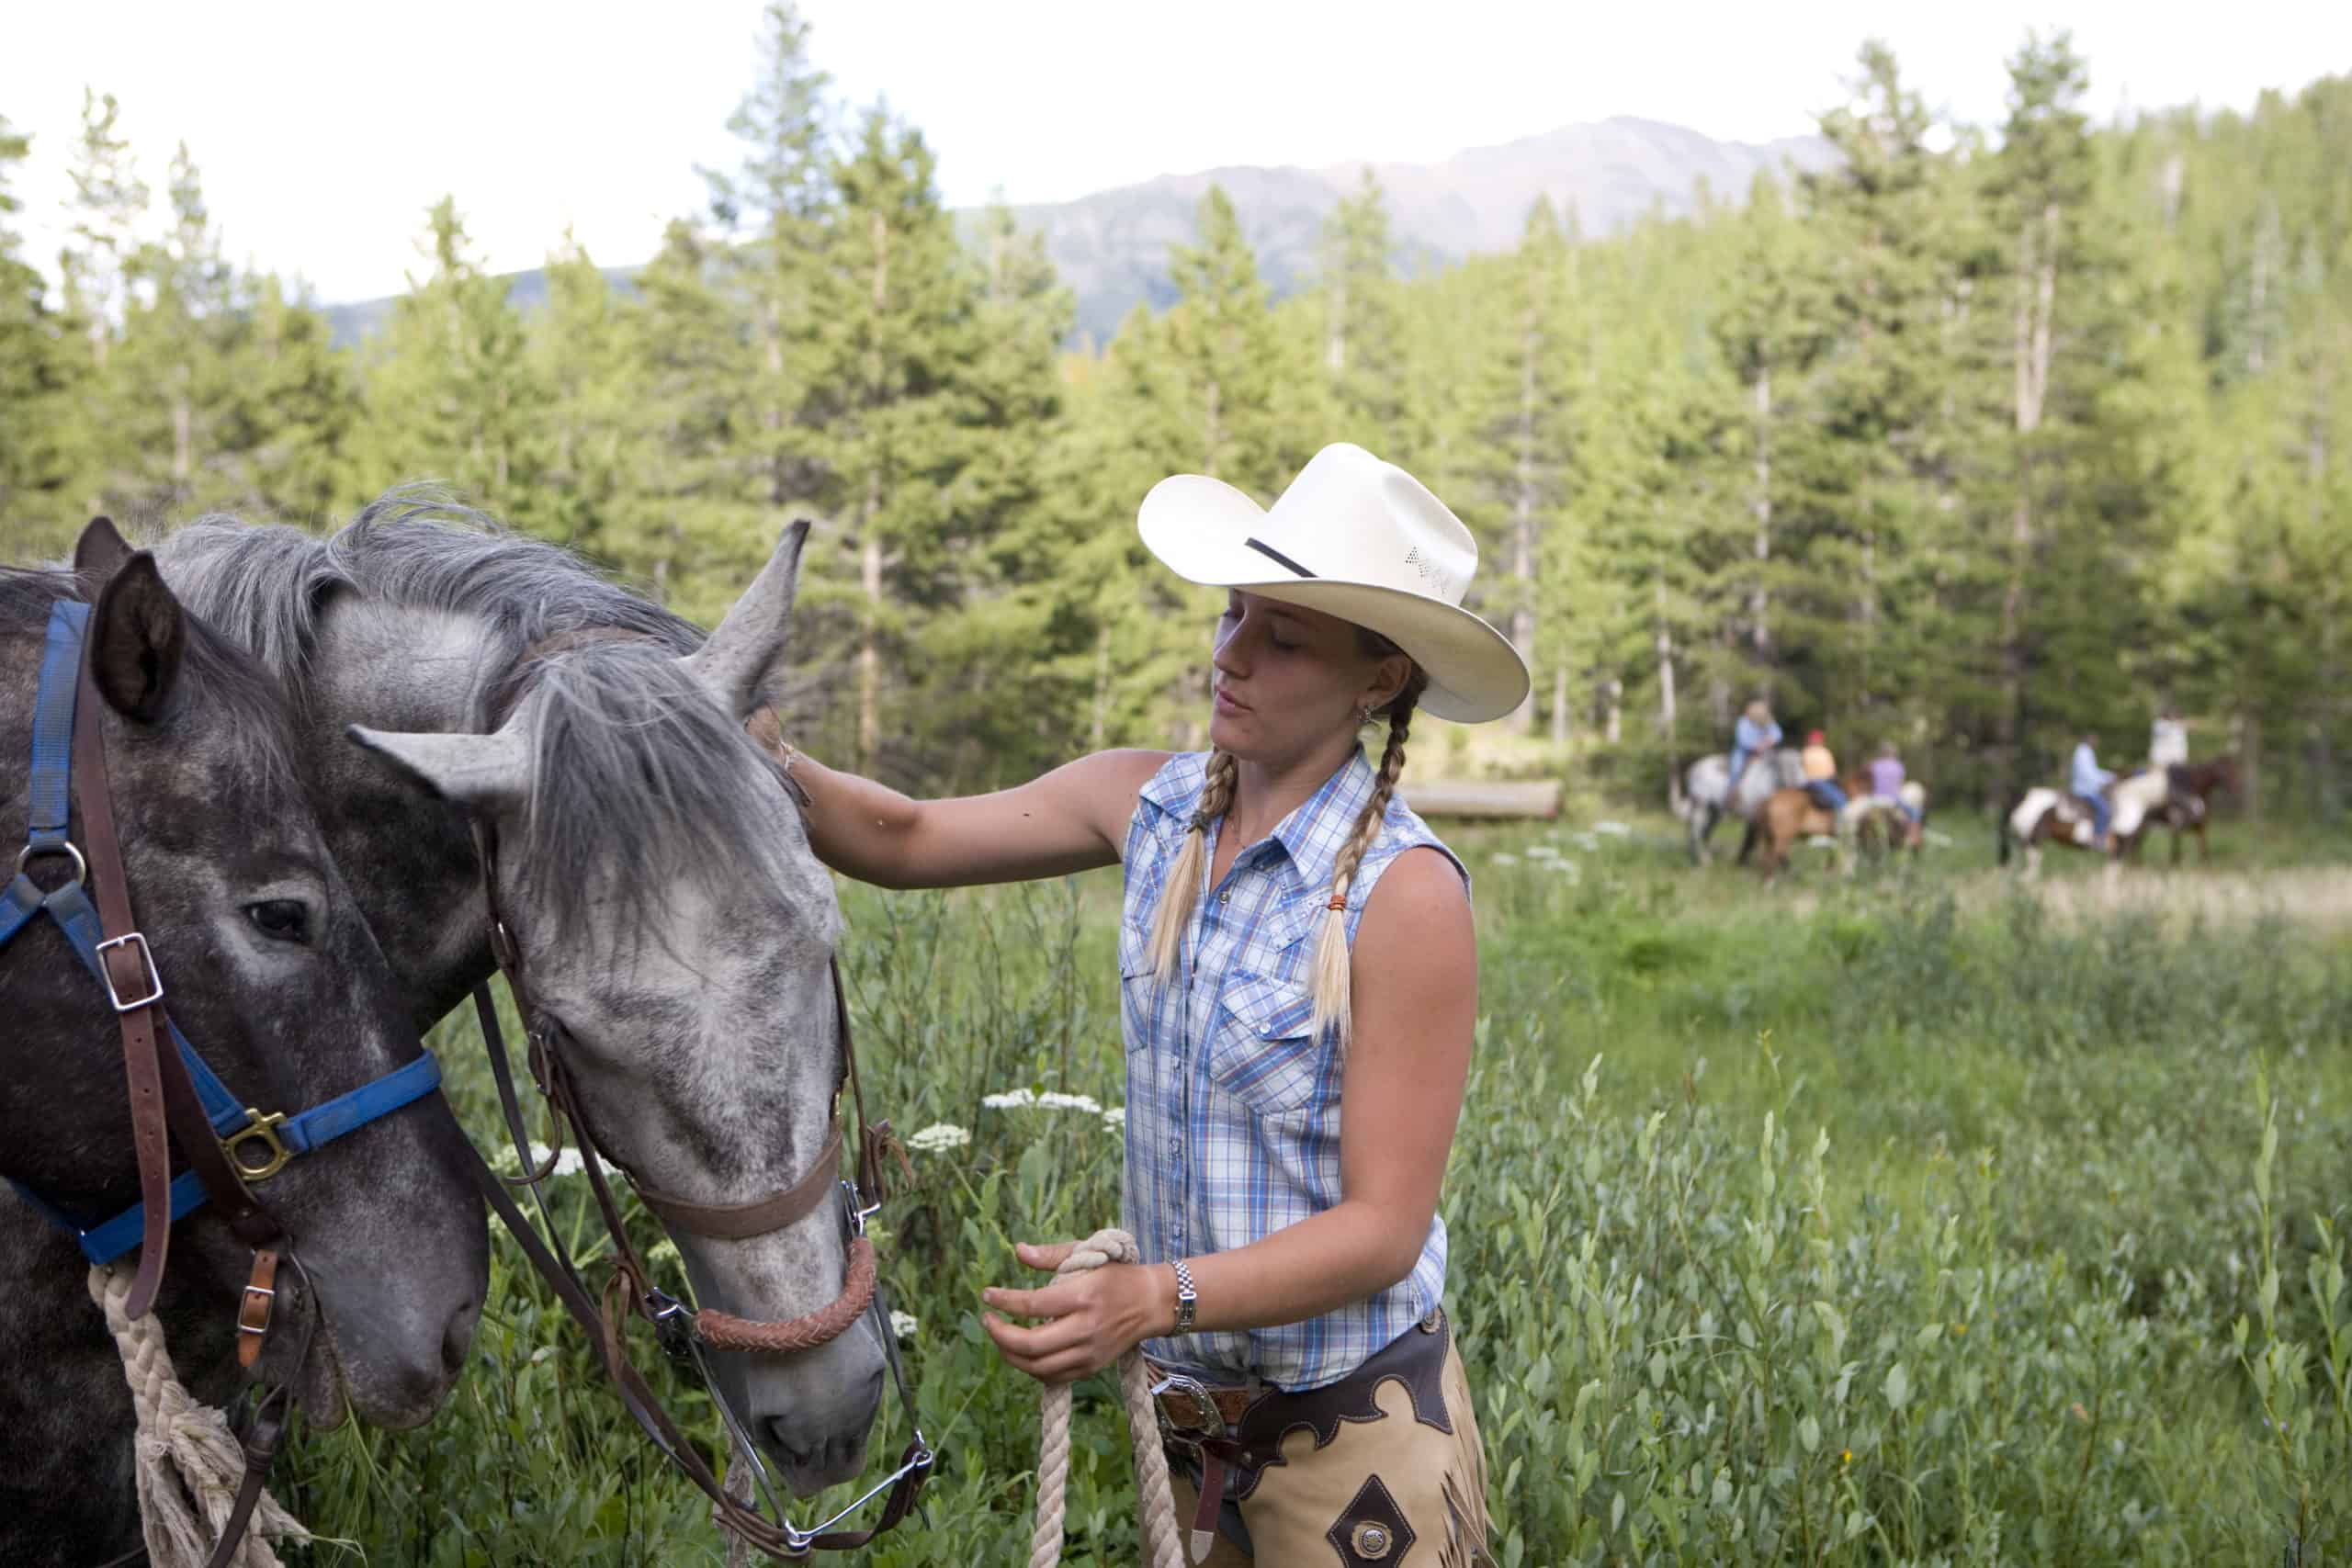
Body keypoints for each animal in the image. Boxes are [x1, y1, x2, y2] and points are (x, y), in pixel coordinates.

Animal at [1674, 747, 1796, 864]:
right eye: (1794, 768)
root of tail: (1694, 769)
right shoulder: (1754, 816)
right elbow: (1751, 840)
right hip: (1701, 806)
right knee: (1695, 833)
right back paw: (1699, 860)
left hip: (1714, 812)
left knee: (1704, 833)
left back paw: (1705, 859)